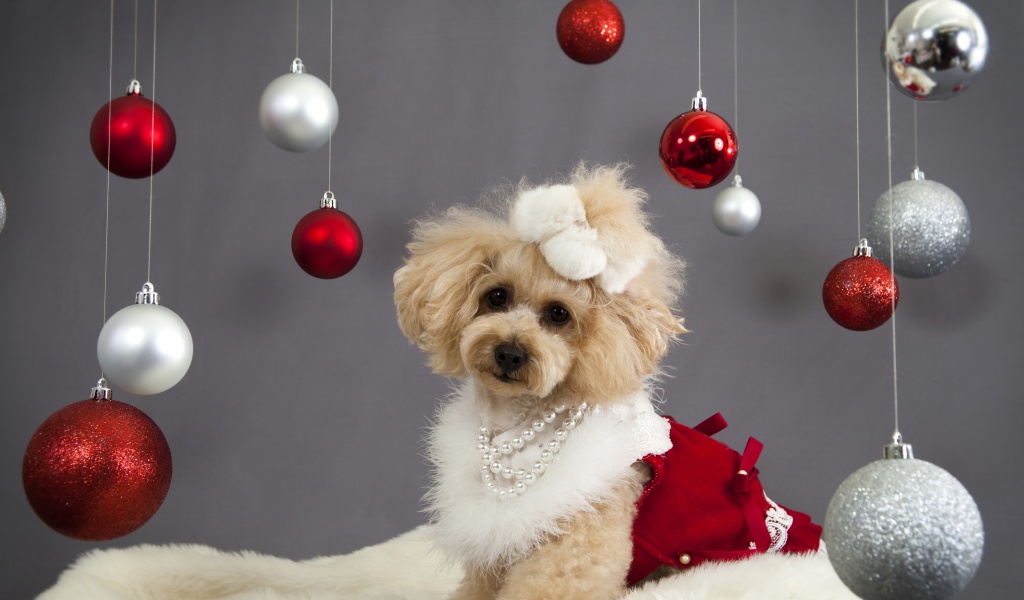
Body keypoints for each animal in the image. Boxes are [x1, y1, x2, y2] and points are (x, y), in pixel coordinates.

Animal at [393, 160, 823, 593]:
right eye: (497, 296)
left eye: (559, 314)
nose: (510, 353)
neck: (521, 424)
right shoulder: (502, 539)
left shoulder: (579, 533)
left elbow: (552, 582)